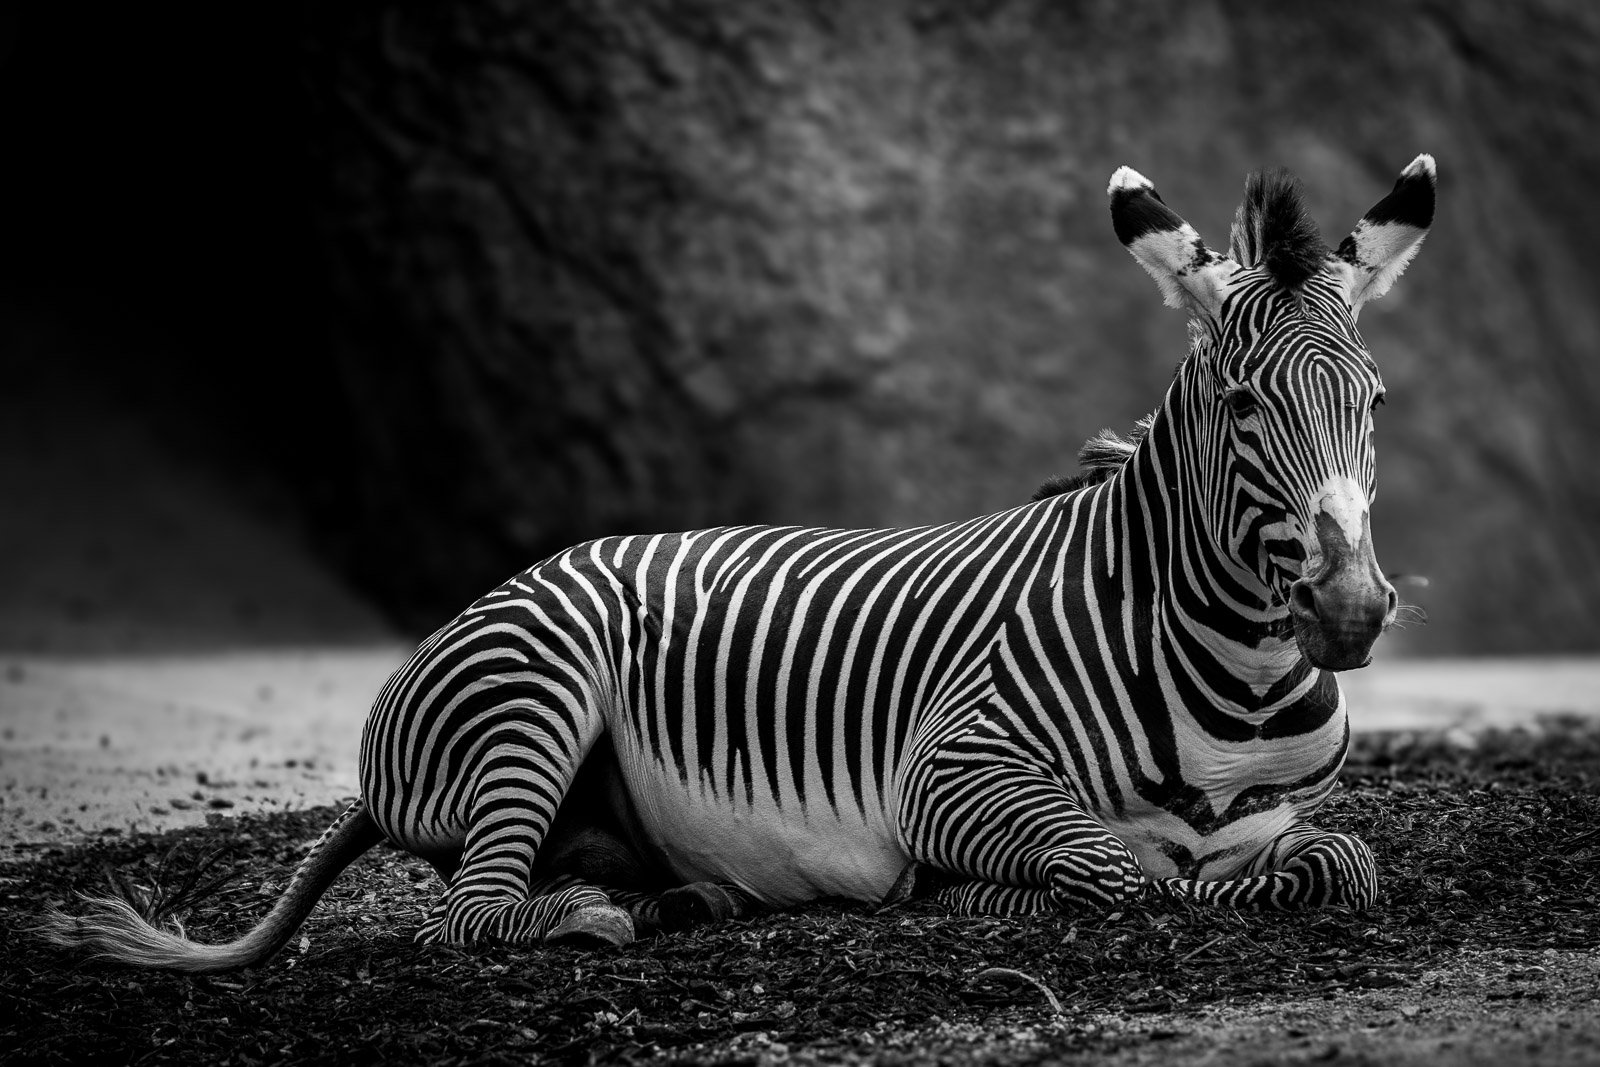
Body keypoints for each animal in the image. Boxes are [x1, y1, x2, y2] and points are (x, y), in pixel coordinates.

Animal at [42, 154, 1436, 971]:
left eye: (1374, 400)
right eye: (1246, 405)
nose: (1353, 608)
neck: (1230, 673)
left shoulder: (1278, 814)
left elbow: (1340, 862)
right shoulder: (951, 769)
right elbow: (1104, 866)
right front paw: (983, 898)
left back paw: (686, 901)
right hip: (536, 688)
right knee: (471, 908)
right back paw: (596, 918)